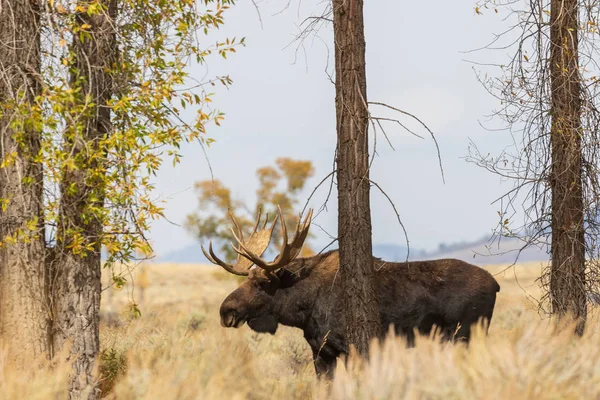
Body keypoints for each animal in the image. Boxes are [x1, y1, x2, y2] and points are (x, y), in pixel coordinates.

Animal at [203, 209, 502, 378]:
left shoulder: (352, 348)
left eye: (261, 283)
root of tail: (496, 285)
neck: (303, 310)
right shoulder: (321, 352)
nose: (225, 310)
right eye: (248, 278)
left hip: (465, 335)